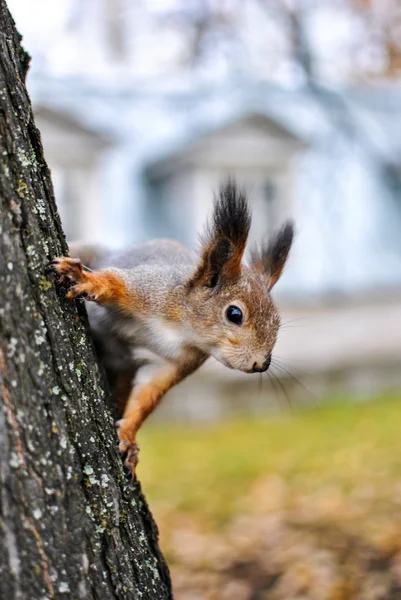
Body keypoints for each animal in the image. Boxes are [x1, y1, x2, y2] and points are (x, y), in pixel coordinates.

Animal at [49, 180, 294, 476]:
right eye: (234, 314)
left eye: (277, 321)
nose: (262, 364)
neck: (182, 329)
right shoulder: (150, 288)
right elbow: (115, 282)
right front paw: (85, 279)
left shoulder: (175, 362)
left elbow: (147, 395)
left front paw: (129, 436)